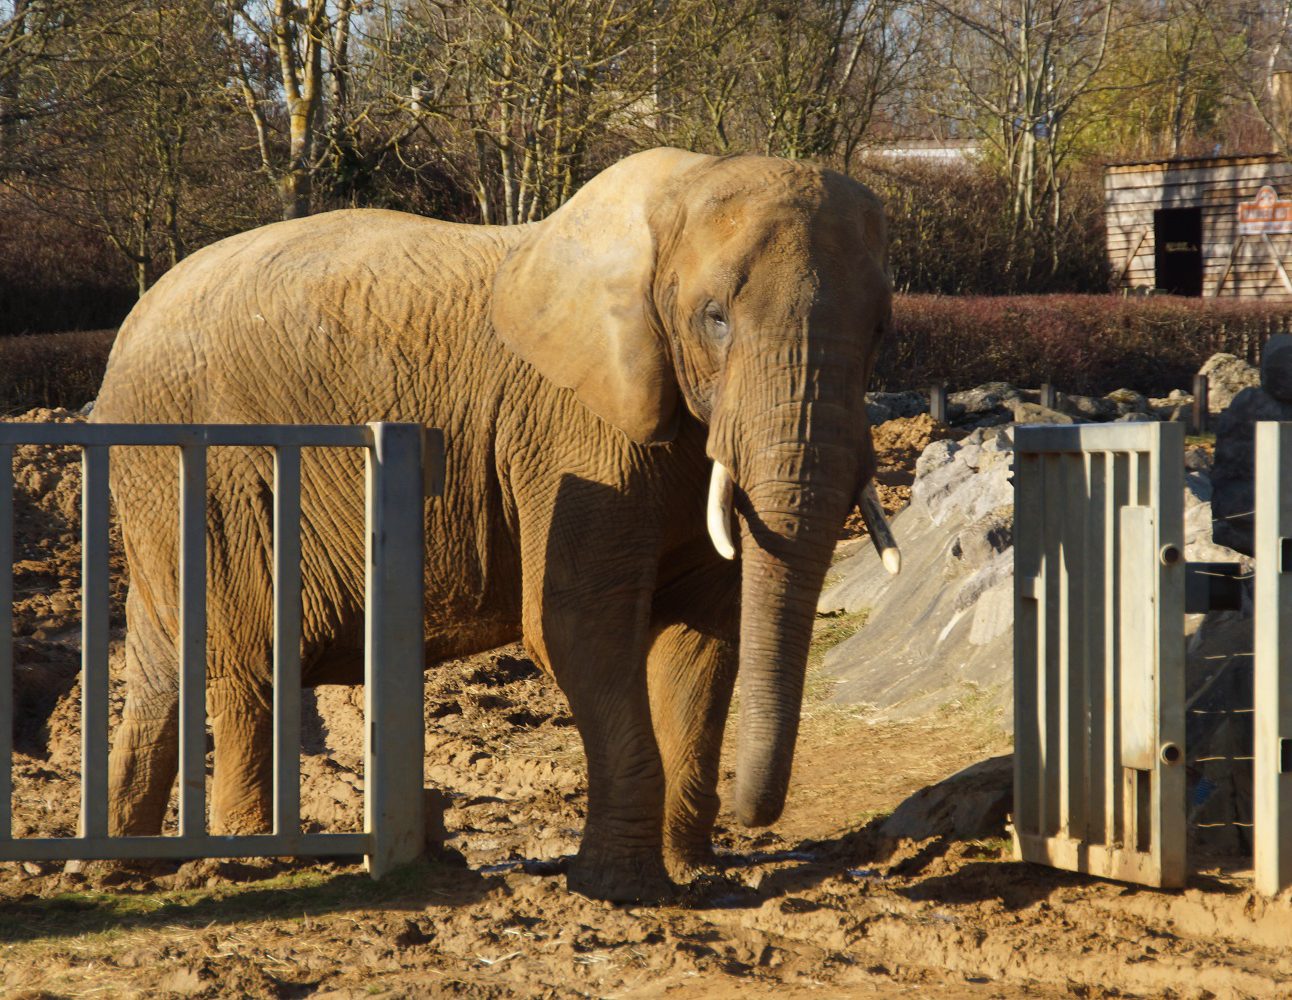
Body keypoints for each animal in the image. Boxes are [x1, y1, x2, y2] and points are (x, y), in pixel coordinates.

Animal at [93, 148, 899, 909]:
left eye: (880, 332)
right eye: (715, 318)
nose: (751, 812)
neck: (675, 192)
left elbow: (703, 637)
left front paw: (691, 877)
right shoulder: (573, 431)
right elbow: (580, 626)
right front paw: (623, 892)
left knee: (164, 663)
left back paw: (118, 870)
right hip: (210, 471)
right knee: (249, 658)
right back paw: (248, 861)